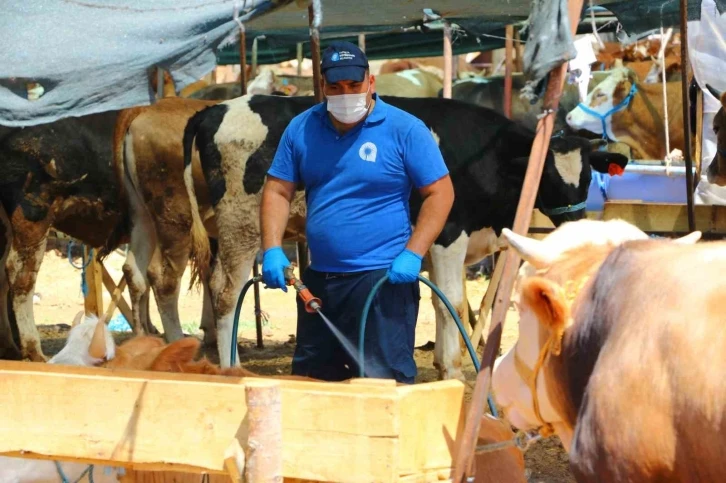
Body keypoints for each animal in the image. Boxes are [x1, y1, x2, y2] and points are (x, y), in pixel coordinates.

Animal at [181, 94, 624, 382]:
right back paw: (231, 367)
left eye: (587, 175)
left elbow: (452, 302)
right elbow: (452, 304)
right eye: (548, 176)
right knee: (226, 293)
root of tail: (215, 108)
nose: (577, 222)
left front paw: (450, 362)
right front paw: (452, 370)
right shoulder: (449, 235)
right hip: (242, 225)